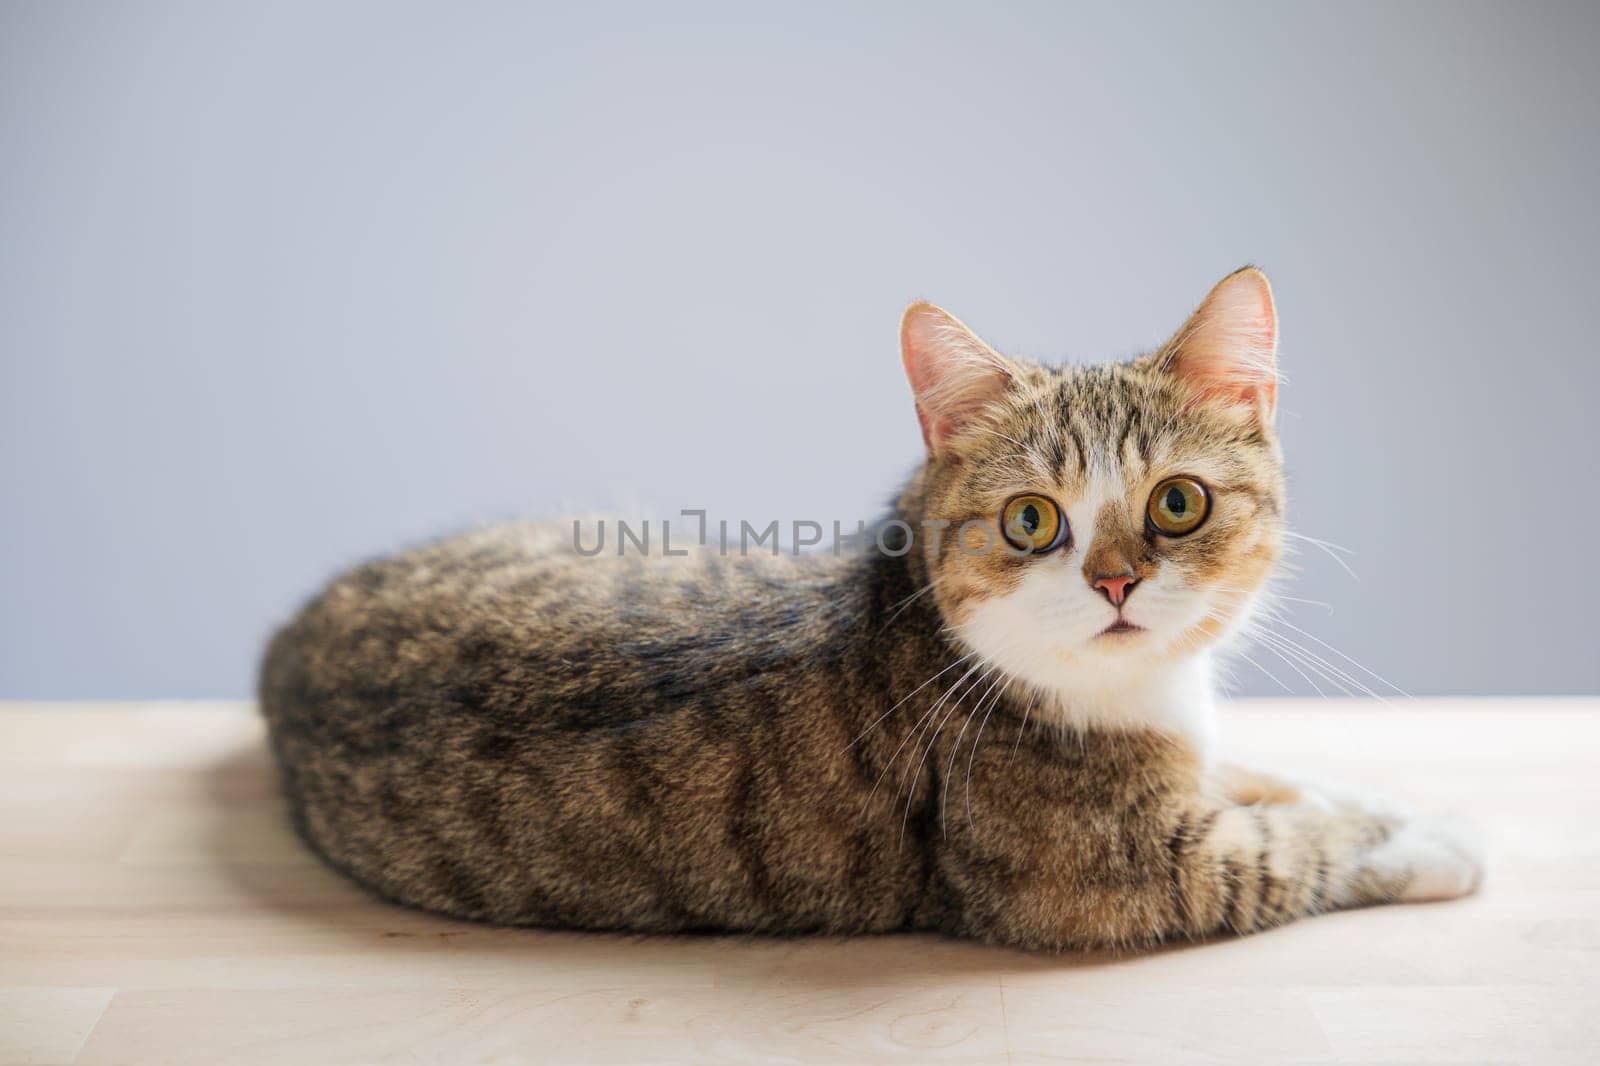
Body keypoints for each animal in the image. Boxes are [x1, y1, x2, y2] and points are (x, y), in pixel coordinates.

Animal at [256, 267, 1478, 947]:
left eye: (1178, 502)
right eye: (1030, 520)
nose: (1115, 580)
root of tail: (289, 640)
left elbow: (1276, 779)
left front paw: (1373, 792)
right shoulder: (1118, 875)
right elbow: (1295, 848)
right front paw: (1431, 837)